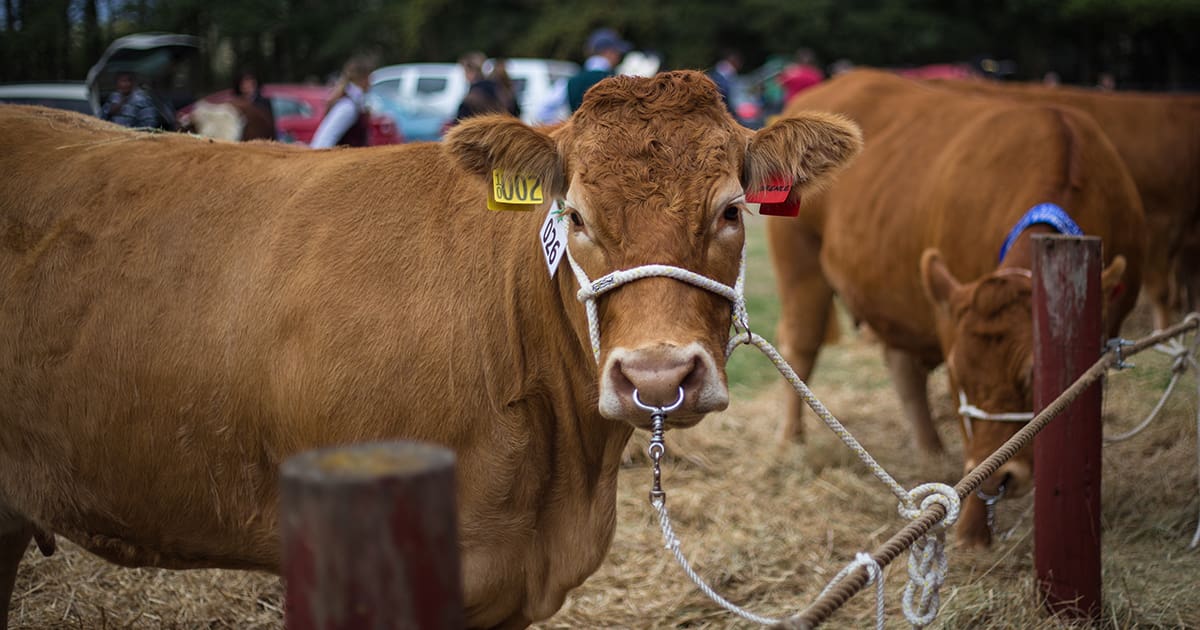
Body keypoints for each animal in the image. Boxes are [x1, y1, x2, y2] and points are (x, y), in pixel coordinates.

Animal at [768, 69, 1144, 547]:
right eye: (958, 379)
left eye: (1034, 376)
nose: (1001, 478)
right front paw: (971, 532)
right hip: (801, 268)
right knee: (800, 348)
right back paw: (790, 443)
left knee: (901, 366)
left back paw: (930, 451)